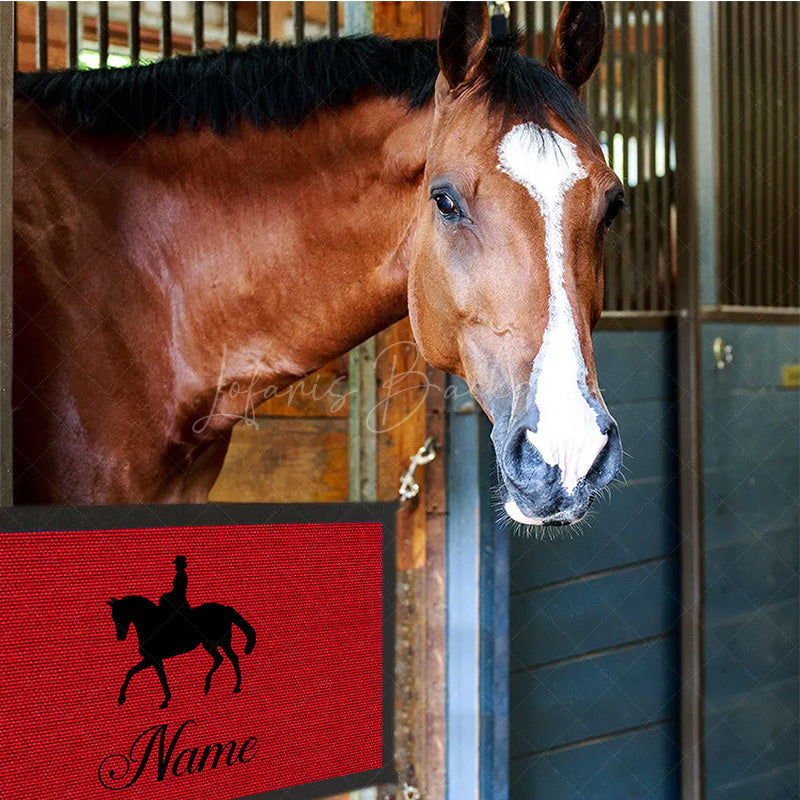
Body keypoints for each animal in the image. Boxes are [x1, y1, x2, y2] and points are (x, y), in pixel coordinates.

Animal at [106, 595, 257, 709]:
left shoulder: (154, 659)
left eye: (119, 616)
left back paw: (234, 686)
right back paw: (211, 686)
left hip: (220, 642)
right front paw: (121, 698)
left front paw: (165, 701)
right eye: (113, 618)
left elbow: (159, 678)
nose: (120, 637)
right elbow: (131, 672)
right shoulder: (150, 659)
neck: (151, 624)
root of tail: (225, 609)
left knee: (231, 658)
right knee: (222, 658)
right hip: (210, 644)